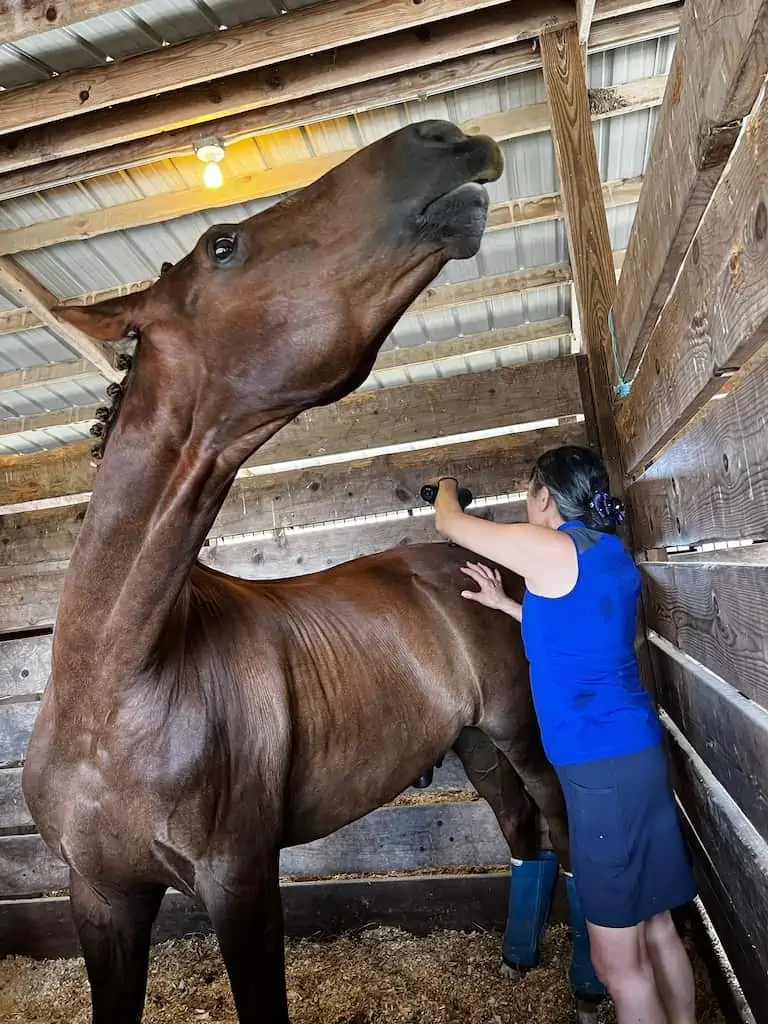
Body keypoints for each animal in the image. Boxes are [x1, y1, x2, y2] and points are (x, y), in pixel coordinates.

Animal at [24, 121, 585, 1024]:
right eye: (222, 244)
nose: (445, 136)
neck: (116, 686)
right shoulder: (101, 898)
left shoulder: (241, 885)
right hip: (474, 745)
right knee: (523, 836)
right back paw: (518, 961)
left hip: (517, 732)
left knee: (563, 829)